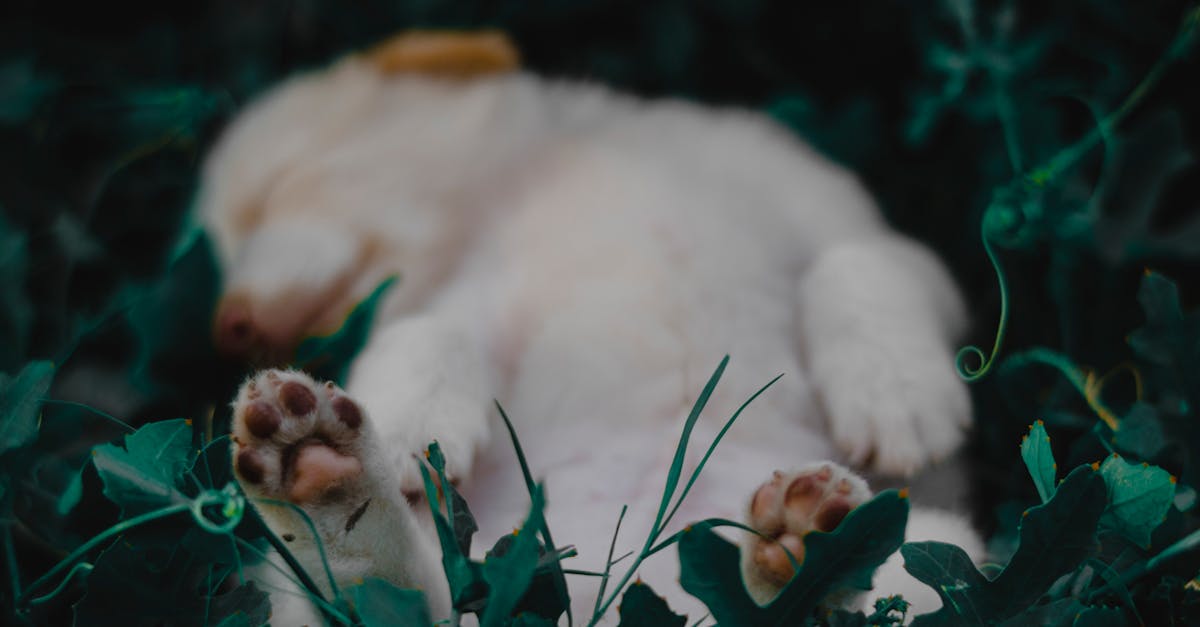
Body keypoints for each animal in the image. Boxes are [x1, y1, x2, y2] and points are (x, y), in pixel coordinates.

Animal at [199, 32, 984, 619]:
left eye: (274, 192)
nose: (227, 328)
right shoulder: (476, 292)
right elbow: (434, 329)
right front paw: (403, 418)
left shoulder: (876, 237)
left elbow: (854, 262)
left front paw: (895, 389)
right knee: (396, 598)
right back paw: (324, 475)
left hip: (936, 554)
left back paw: (798, 553)